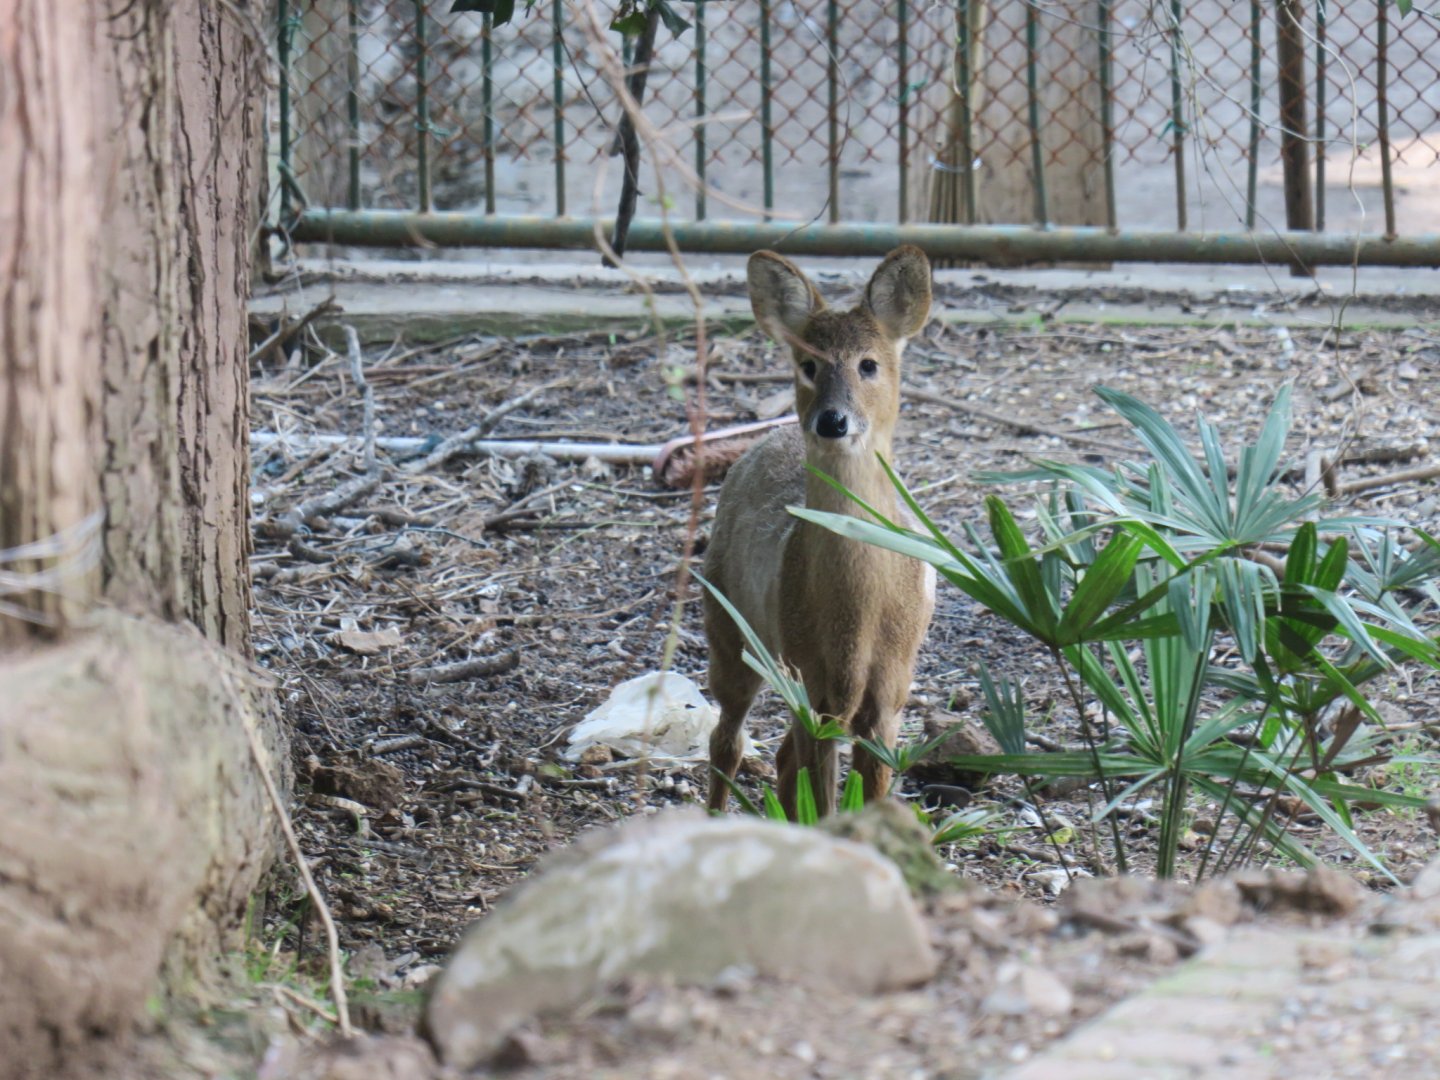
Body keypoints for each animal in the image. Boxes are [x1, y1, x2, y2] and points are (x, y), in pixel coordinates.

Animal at [703, 245, 936, 819]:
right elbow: (823, 801)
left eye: (868, 363)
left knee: (780, 757)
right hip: (729, 626)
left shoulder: (891, 689)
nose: (832, 420)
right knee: (728, 739)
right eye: (807, 365)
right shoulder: (813, 682)